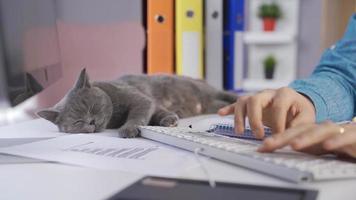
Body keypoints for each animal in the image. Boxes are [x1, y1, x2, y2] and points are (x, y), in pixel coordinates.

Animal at [37, 69, 238, 138]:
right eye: (78, 121)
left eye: (91, 106)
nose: (91, 122)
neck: (113, 120)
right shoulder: (151, 103)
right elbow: (157, 112)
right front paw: (169, 120)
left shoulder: (140, 99)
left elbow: (138, 114)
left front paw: (128, 129)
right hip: (212, 104)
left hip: (209, 91)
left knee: (228, 94)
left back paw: (239, 101)